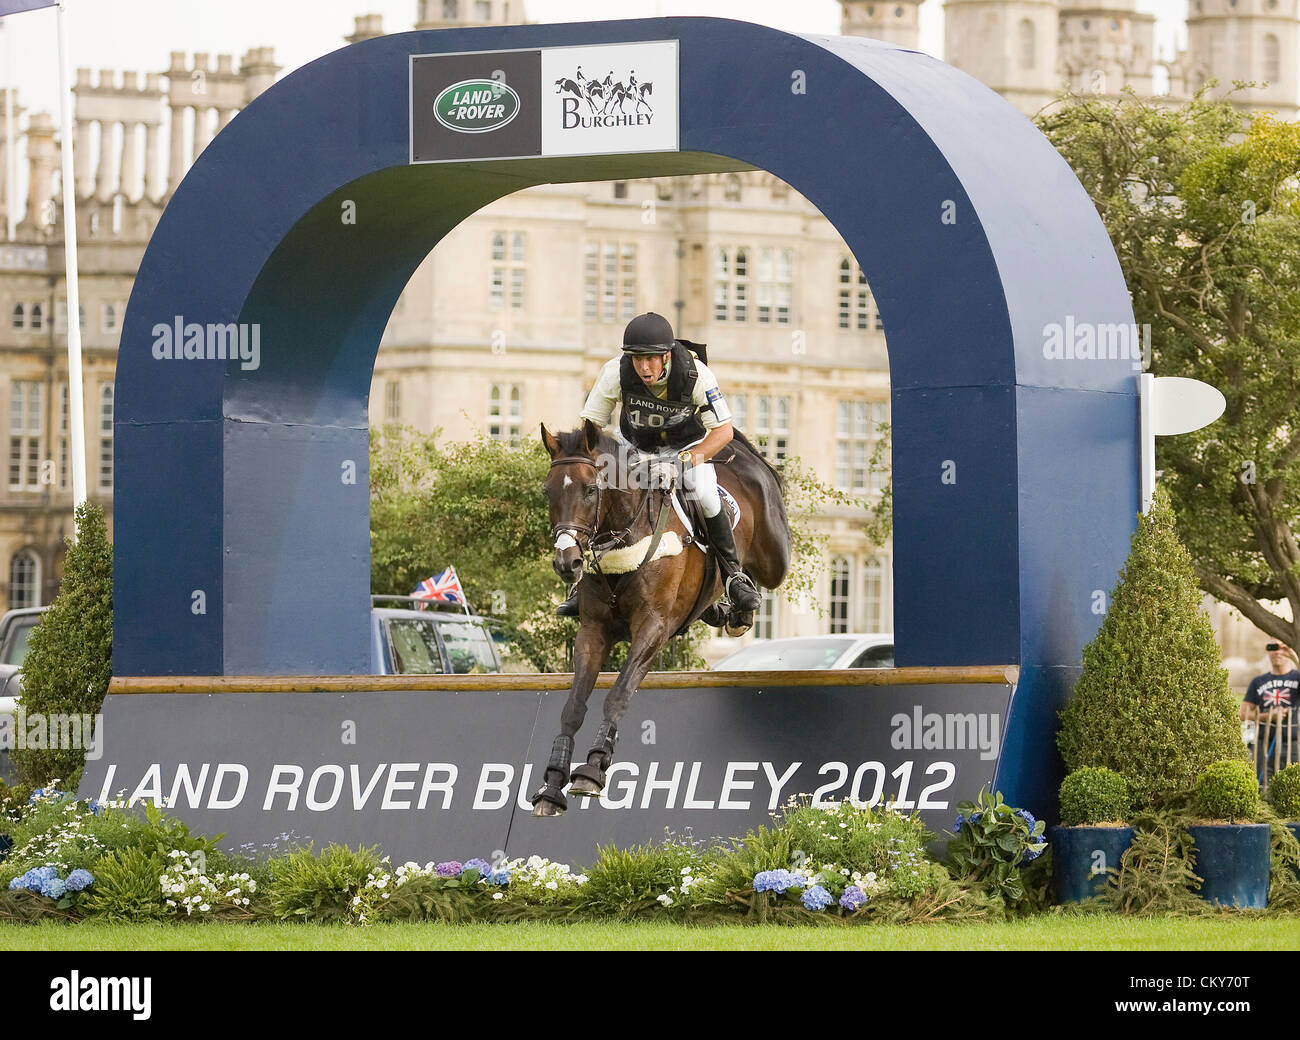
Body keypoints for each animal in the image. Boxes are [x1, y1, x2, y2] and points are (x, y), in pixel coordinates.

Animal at [533, 419, 791, 817]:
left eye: (590, 490)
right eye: (548, 493)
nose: (567, 562)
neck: (626, 533)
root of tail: (738, 453)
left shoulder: (652, 628)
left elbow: (618, 695)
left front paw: (592, 770)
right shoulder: (593, 632)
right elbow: (573, 706)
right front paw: (552, 784)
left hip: (774, 556)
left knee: (763, 567)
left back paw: (743, 595)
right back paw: (724, 609)